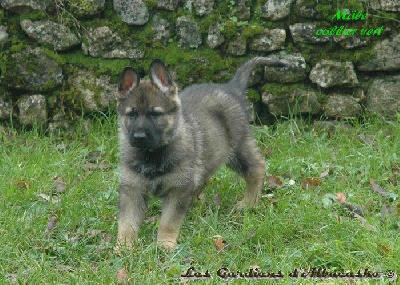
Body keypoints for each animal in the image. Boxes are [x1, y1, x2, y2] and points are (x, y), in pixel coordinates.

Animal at [115, 56, 284, 248]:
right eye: (131, 114)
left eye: (155, 114)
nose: (139, 136)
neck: (152, 154)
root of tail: (230, 88)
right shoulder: (132, 189)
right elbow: (127, 222)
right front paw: (123, 247)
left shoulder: (178, 189)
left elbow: (168, 221)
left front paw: (165, 244)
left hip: (238, 149)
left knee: (257, 168)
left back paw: (249, 203)